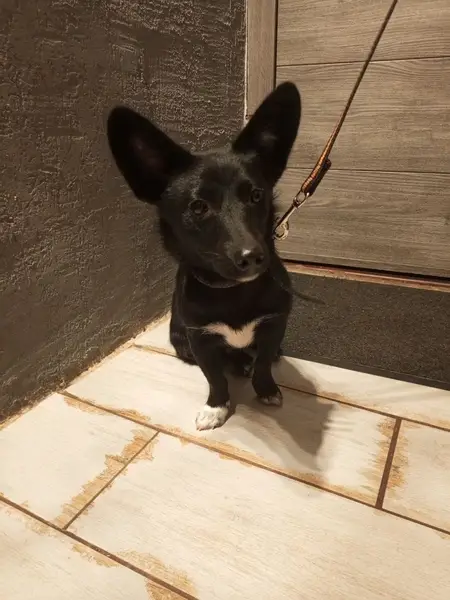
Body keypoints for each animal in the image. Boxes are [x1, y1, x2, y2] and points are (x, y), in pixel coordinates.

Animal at [107, 82, 301, 430]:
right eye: (198, 207)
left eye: (256, 195)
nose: (253, 257)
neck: (232, 291)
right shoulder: (200, 342)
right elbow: (215, 378)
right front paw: (216, 407)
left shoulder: (273, 326)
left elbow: (264, 363)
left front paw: (266, 390)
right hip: (181, 342)